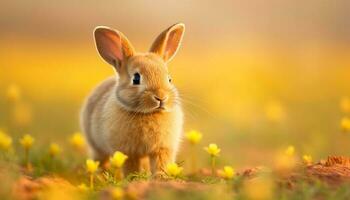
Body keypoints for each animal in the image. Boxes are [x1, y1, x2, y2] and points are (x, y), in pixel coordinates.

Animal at [80, 23, 186, 176]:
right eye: (136, 79)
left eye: (169, 79)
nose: (161, 97)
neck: (149, 113)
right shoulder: (128, 152)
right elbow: (131, 166)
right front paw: (133, 178)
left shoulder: (162, 149)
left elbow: (161, 164)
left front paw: (161, 178)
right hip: (96, 146)